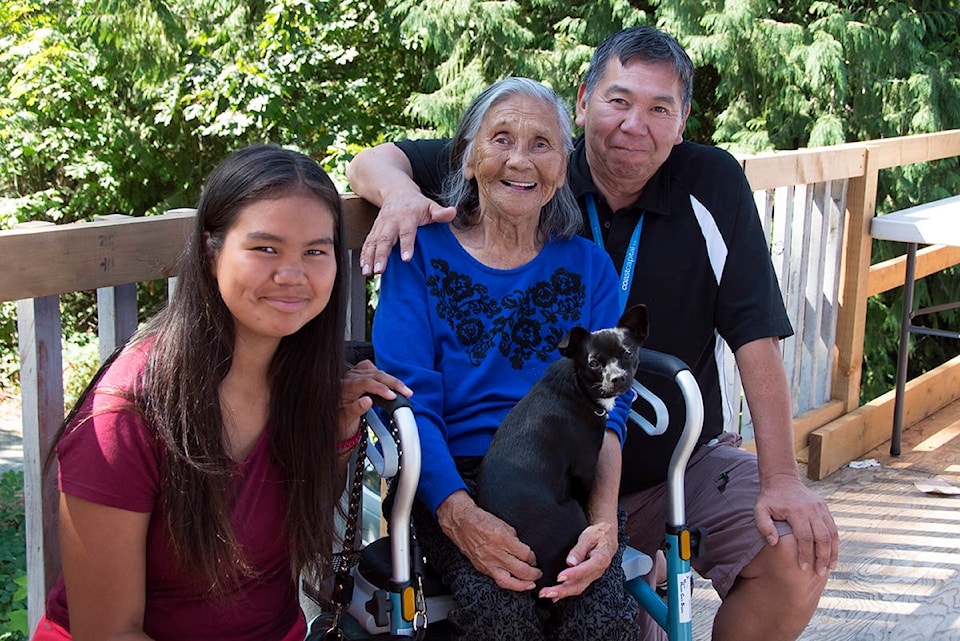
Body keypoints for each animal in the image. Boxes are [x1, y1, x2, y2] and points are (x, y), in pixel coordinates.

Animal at [476, 304, 648, 592]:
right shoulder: (585, 469)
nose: (618, 378)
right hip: (572, 511)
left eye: (628, 353)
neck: (579, 388)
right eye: (593, 363)